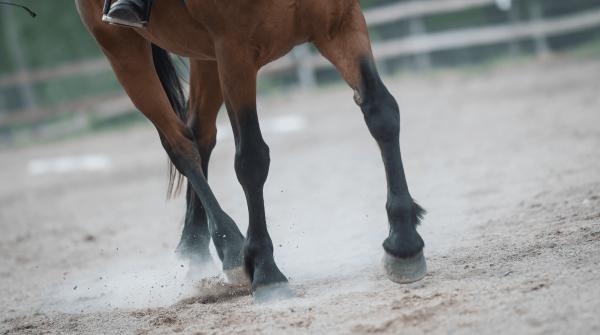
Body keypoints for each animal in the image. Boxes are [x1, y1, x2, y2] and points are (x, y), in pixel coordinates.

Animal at [76, 0, 426, 304]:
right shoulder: (235, 51)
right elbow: (251, 158)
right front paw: (266, 271)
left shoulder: (340, 24)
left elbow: (381, 113)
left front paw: (404, 243)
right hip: (121, 48)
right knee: (180, 145)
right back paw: (231, 247)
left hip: (204, 56)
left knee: (199, 133)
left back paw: (194, 246)